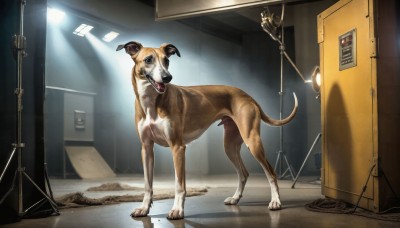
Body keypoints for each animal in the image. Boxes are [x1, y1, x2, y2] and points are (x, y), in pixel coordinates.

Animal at [115, 40, 296, 219]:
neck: (152, 102)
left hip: (252, 142)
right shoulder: (146, 149)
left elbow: (179, 185)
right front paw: (144, 208)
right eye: (148, 60)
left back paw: (275, 202)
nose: (167, 77)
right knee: (243, 173)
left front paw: (177, 210)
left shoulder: (177, 148)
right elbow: (147, 185)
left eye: (166, 60)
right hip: (230, 146)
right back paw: (235, 198)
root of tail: (246, 95)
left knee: (271, 173)